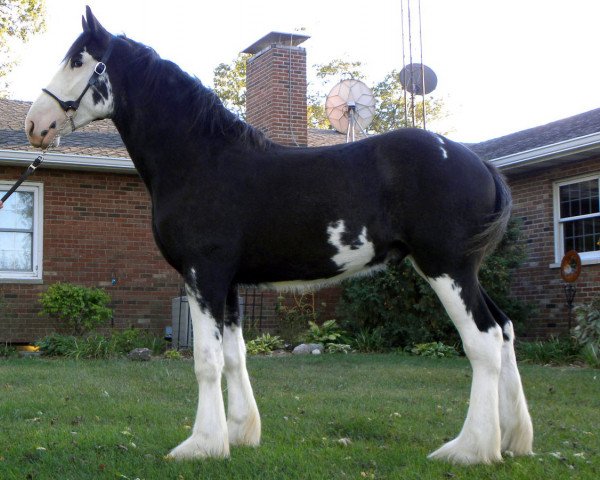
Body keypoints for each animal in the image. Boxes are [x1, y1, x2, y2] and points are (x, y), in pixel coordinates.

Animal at [23, 8, 532, 464]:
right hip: (465, 271)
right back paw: (513, 440)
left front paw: (201, 445)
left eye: (77, 60)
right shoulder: (228, 283)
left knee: (483, 340)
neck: (201, 159)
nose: (34, 124)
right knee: (505, 330)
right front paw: (238, 434)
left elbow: (206, 359)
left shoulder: (203, 274)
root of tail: (479, 163)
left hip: (446, 267)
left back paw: (471, 449)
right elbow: (234, 357)